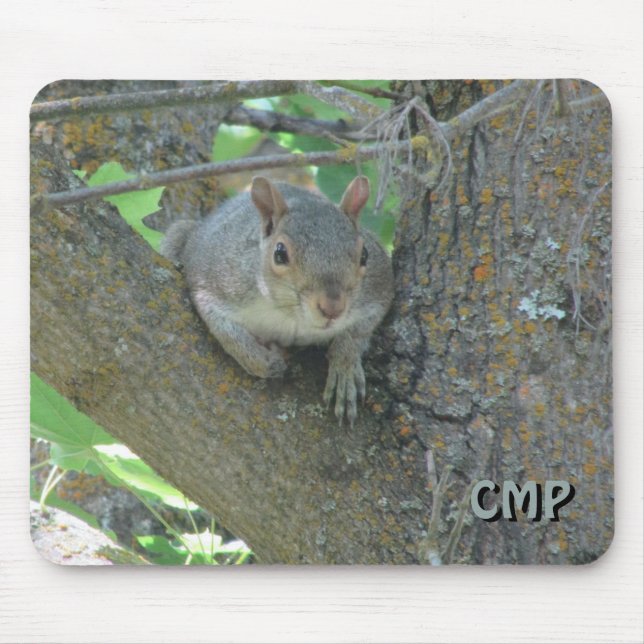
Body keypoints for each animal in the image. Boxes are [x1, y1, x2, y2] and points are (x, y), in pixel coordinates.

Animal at [161, 175, 394, 424]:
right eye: (280, 253)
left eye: (365, 255)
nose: (333, 308)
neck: (291, 317)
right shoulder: (215, 280)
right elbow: (224, 330)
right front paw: (264, 362)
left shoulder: (379, 289)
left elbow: (359, 330)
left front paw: (345, 365)